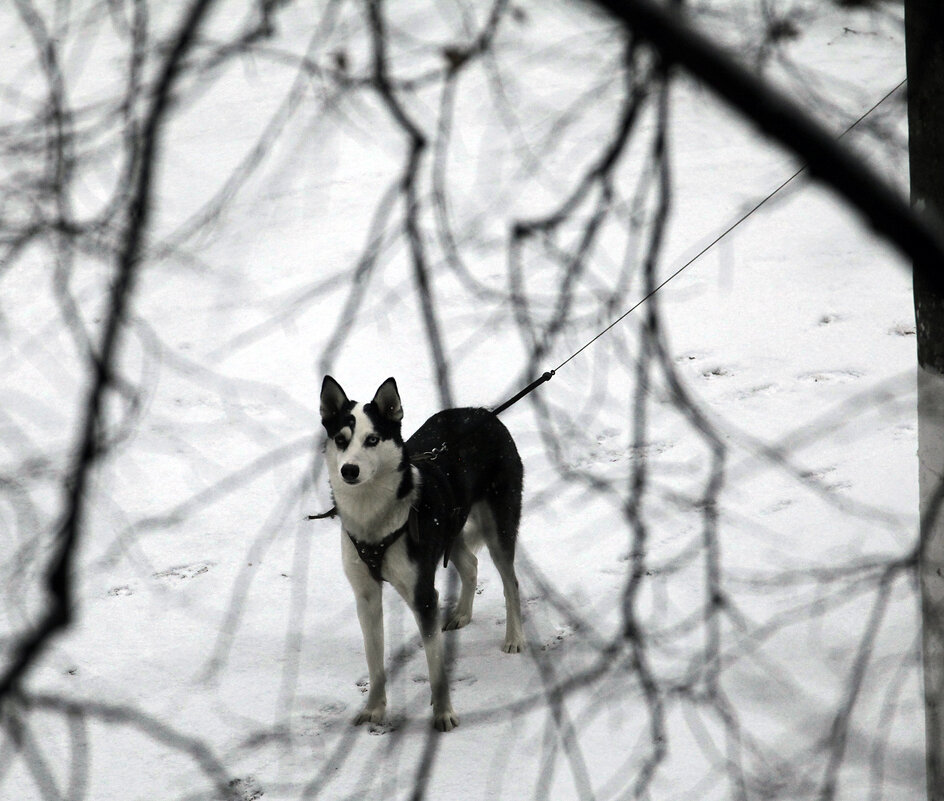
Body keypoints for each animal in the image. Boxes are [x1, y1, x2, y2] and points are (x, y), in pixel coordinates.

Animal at [318, 376, 524, 732]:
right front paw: (374, 709)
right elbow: (375, 662)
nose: (349, 470)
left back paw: (514, 638)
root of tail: (484, 413)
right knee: (471, 564)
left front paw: (443, 714)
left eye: (372, 439)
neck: (374, 519)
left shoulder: (423, 595)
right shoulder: (366, 596)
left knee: (511, 582)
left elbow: (436, 667)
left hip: (499, 526)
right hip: (450, 529)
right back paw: (461, 614)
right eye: (341, 440)